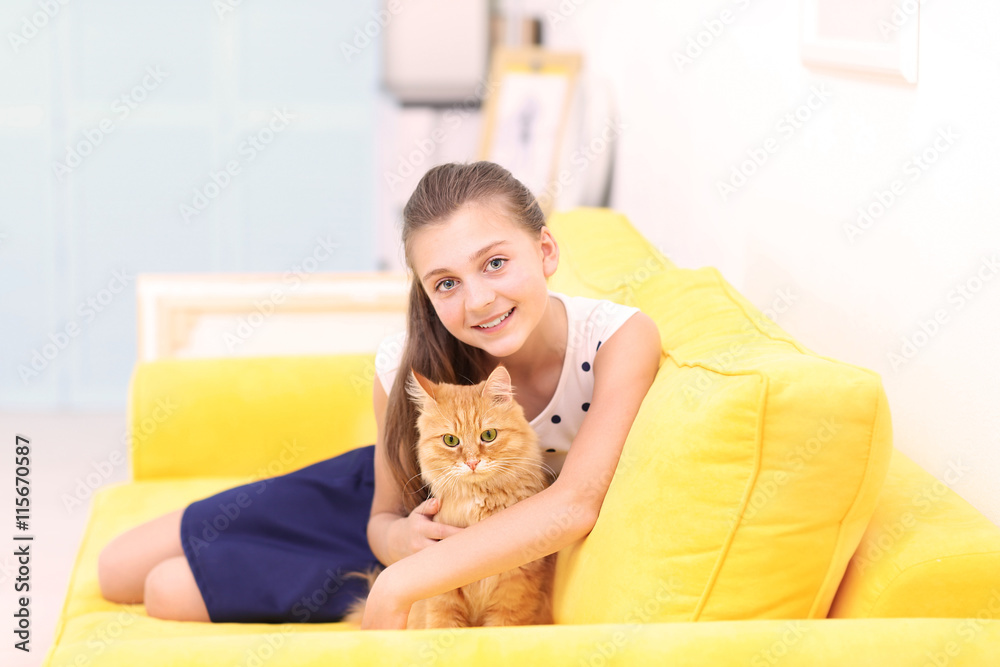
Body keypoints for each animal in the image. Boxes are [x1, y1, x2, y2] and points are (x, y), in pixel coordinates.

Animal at [342, 363, 557, 628]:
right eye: (451, 440)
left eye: (488, 436)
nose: (472, 462)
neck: (479, 504)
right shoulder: (442, 595)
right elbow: (441, 625)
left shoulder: (515, 589)